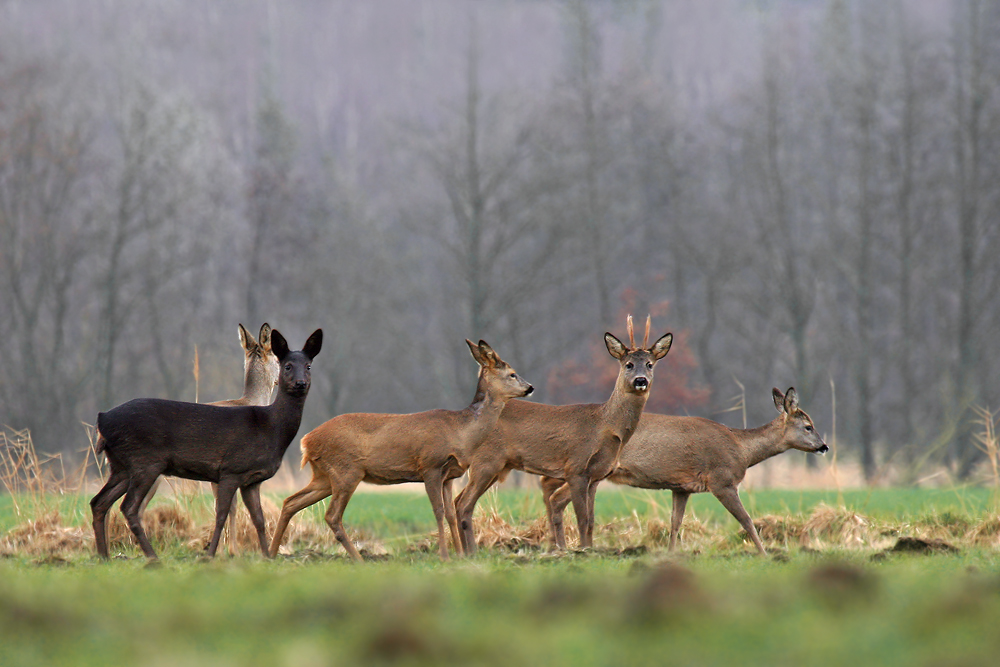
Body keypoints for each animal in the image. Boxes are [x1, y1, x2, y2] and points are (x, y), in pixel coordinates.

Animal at [92, 328, 322, 560]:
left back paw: (104, 557)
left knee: (99, 502)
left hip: (121, 467)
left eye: (309, 366)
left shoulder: (252, 479)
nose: (300, 383)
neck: (271, 427)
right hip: (145, 463)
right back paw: (152, 557)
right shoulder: (231, 470)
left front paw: (266, 557)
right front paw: (212, 555)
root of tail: (102, 420)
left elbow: (259, 519)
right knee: (129, 507)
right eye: (286, 365)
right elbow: (221, 514)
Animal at [266, 340, 532, 564]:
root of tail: (307, 441)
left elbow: (450, 514)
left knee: (290, 502)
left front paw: (458, 555)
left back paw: (271, 554)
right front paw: (445, 556)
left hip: (324, 476)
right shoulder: (430, 465)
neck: (460, 431)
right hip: (346, 471)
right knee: (332, 515)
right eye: (512, 373)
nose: (530, 387)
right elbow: (438, 511)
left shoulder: (449, 475)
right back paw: (359, 559)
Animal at [458, 318, 676, 552]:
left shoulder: (596, 476)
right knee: (463, 503)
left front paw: (588, 548)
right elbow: (582, 519)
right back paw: (470, 552)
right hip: (486, 461)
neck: (606, 425)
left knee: (458, 501)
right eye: (628, 364)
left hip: (495, 465)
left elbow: (591, 521)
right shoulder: (576, 468)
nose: (640, 380)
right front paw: (583, 550)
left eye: (650, 364)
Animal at [544, 386, 824, 552]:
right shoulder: (722, 480)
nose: (824, 446)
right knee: (555, 495)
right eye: (808, 426)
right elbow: (746, 519)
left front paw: (671, 554)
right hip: (586, 469)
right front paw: (764, 553)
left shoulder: (681, 487)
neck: (742, 450)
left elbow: (675, 522)